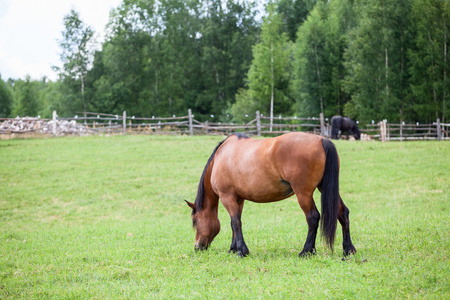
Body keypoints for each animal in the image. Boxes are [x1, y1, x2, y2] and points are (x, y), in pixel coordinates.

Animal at [185, 133, 356, 258]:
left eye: (195, 221)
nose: (197, 247)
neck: (220, 157)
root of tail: (321, 140)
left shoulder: (227, 196)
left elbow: (235, 223)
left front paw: (242, 251)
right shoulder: (238, 199)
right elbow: (235, 222)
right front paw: (233, 249)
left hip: (303, 194)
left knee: (313, 217)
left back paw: (306, 251)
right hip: (324, 188)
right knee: (343, 213)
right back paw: (348, 249)